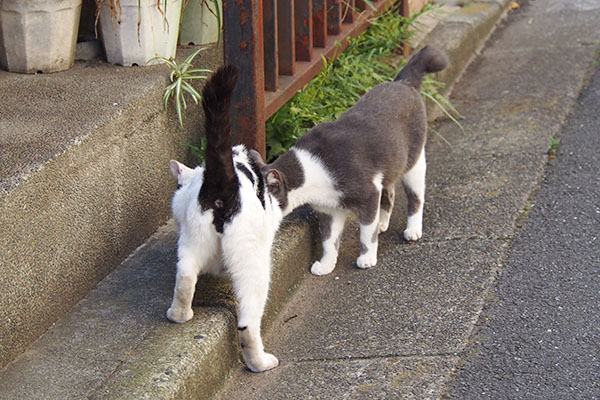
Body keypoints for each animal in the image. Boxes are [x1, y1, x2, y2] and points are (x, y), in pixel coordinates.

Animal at [165, 65, 284, 372]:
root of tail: (223, 183)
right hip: (252, 263)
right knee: (247, 323)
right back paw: (260, 362)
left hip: (192, 240)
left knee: (185, 276)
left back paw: (178, 314)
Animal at [254, 47, 450, 276]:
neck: (313, 170)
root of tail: (403, 82)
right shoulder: (329, 210)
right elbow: (329, 241)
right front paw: (326, 265)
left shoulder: (368, 193)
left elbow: (366, 234)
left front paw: (367, 258)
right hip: (389, 165)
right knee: (389, 193)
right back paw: (382, 223)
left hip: (414, 163)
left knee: (415, 198)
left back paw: (412, 230)